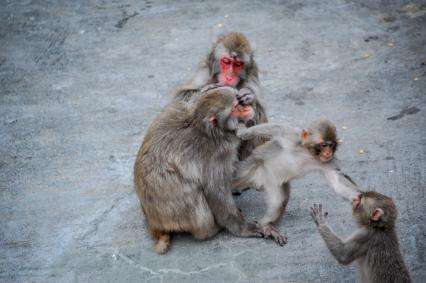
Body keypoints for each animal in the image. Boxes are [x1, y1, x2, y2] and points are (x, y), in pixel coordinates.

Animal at [135, 87, 284, 255]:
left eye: (238, 101)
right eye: (234, 108)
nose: (245, 108)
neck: (210, 130)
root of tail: (153, 223)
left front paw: (248, 97)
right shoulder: (216, 153)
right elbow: (216, 191)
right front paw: (244, 228)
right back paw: (213, 229)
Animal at [175, 31, 268, 160]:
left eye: (238, 64)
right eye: (226, 61)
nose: (229, 77)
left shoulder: (252, 74)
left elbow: (260, 110)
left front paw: (249, 95)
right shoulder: (205, 68)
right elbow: (181, 97)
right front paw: (206, 89)